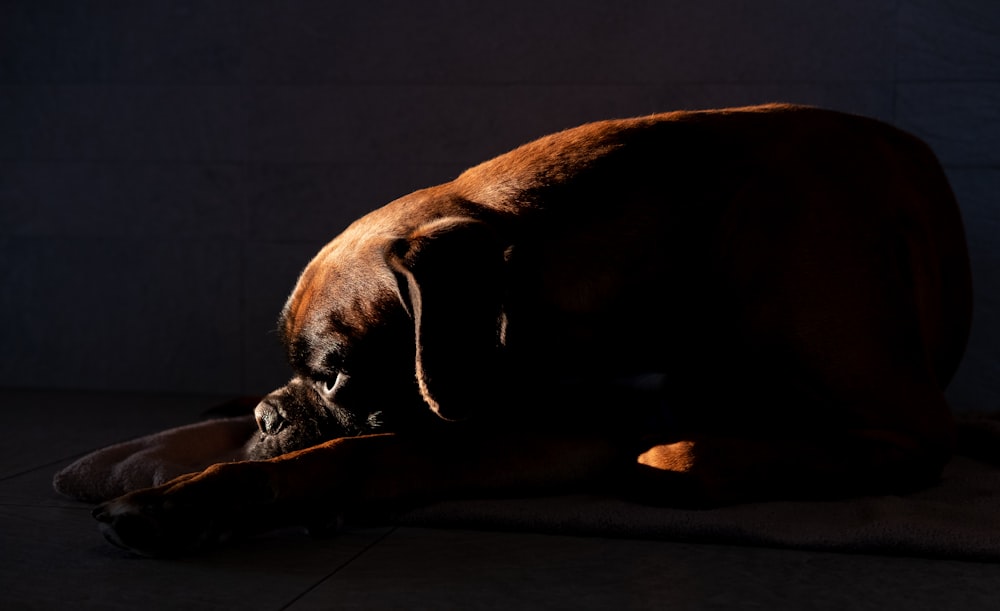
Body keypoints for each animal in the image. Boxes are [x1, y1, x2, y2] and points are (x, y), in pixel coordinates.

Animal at [92, 104, 968, 556]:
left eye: (336, 370)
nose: (270, 414)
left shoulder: (913, 434)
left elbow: (685, 452)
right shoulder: (551, 426)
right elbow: (368, 454)